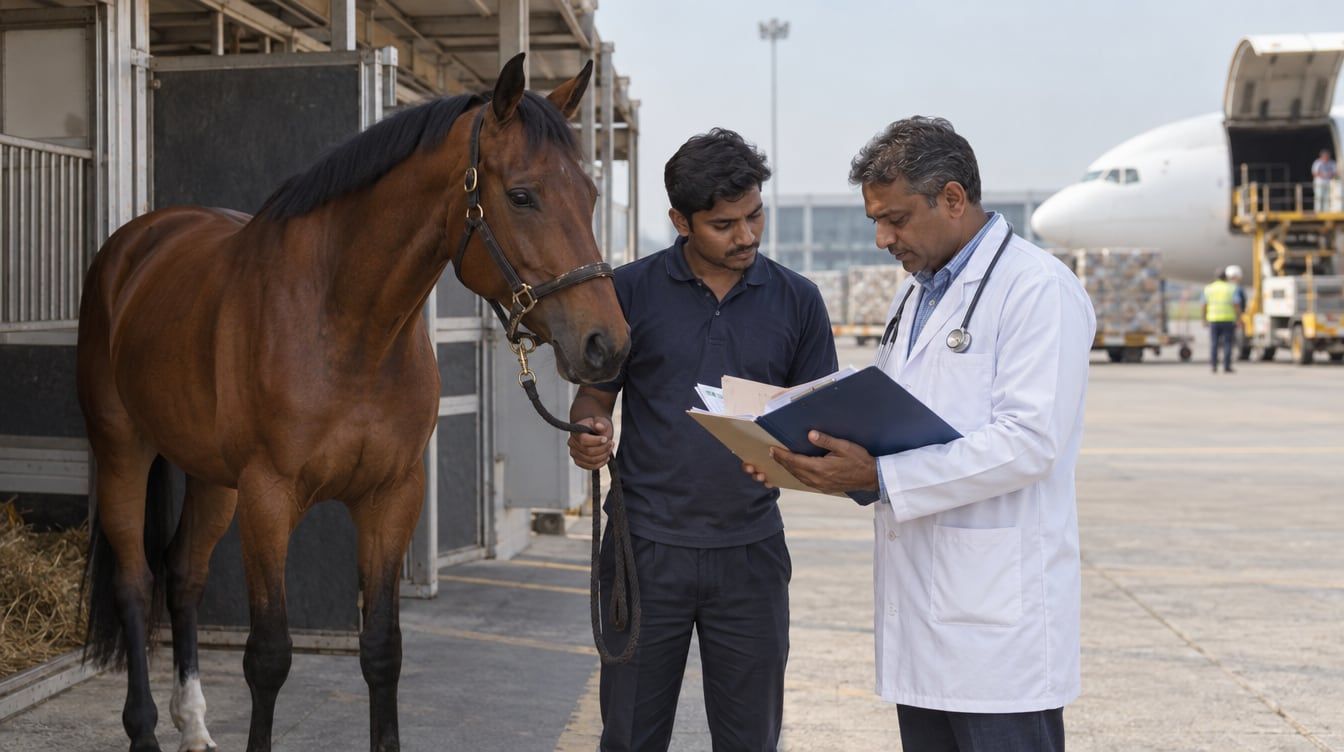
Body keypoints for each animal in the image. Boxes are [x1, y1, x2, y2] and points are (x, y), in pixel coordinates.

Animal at [77, 53, 628, 752]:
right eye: (522, 195)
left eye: (589, 196)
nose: (607, 344)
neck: (345, 323)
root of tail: (134, 245)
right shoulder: (268, 498)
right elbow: (268, 655)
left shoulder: (391, 496)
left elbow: (382, 650)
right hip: (123, 449)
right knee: (133, 584)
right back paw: (145, 727)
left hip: (211, 478)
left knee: (183, 576)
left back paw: (195, 723)